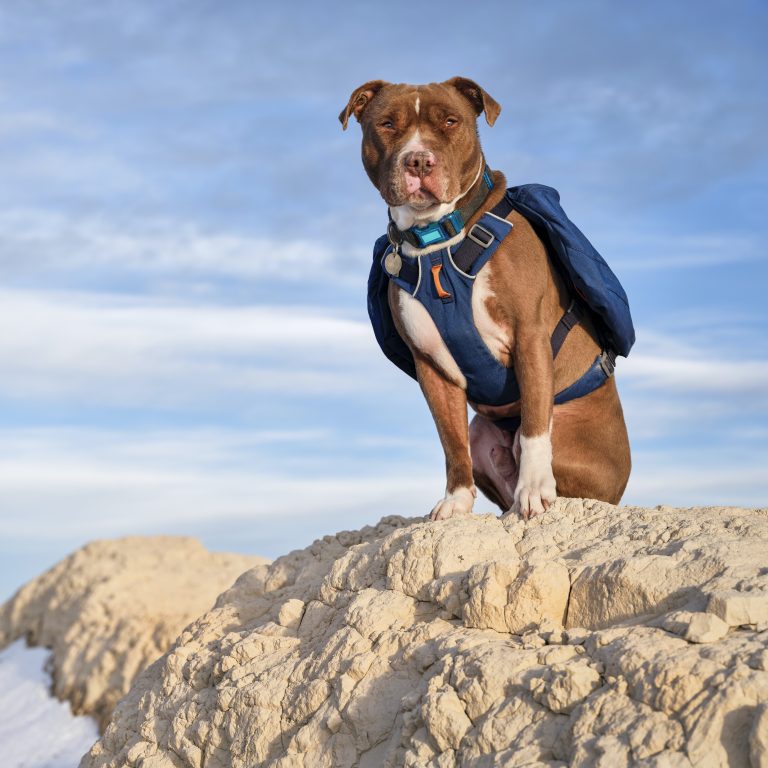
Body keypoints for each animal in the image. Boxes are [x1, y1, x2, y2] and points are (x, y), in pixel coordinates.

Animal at [340, 78, 632, 520]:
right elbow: (451, 441)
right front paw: (456, 501)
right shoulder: (431, 366)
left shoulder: (530, 335)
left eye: (450, 121)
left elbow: (533, 425)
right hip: (483, 438)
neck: (437, 240)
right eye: (388, 124)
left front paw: (534, 490)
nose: (419, 161)